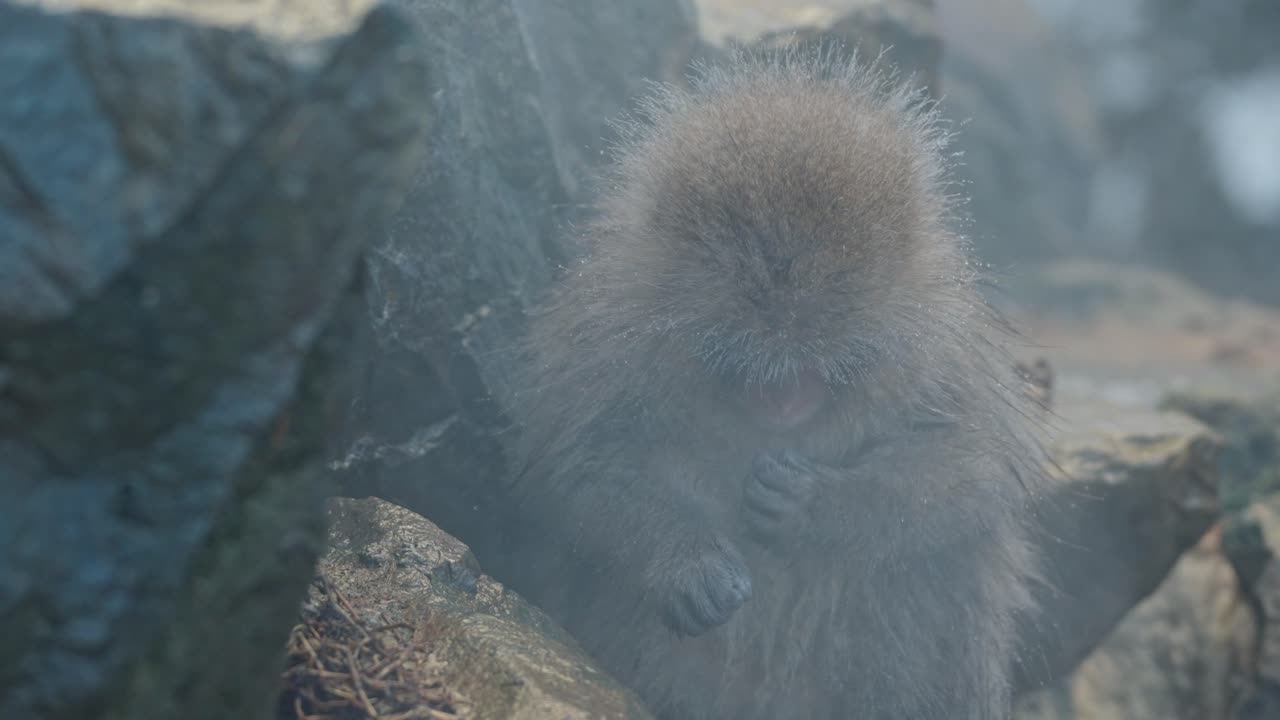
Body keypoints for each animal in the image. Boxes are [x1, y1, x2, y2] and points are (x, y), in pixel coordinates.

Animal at [490, 47, 1050, 720]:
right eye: (741, 357)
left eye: (825, 358)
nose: (783, 400)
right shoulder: (607, 332)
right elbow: (578, 469)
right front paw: (688, 565)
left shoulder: (941, 341)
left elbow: (977, 465)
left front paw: (816, 507)